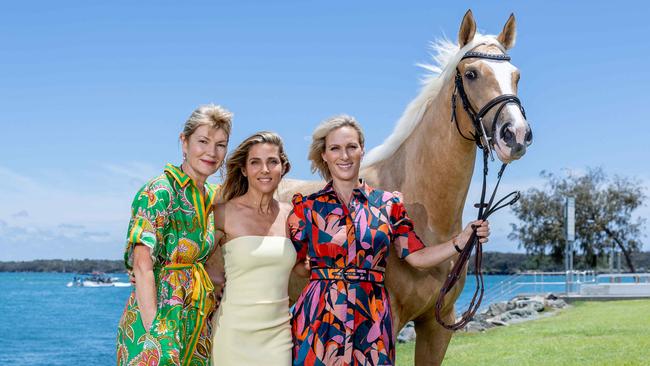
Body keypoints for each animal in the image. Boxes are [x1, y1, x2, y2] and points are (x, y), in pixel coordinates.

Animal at [276, 10, 528, 364]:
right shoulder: (390, 321)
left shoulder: (438, 325)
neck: (427, 213)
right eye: (472, 74)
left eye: (516, 76)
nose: (515, 135)